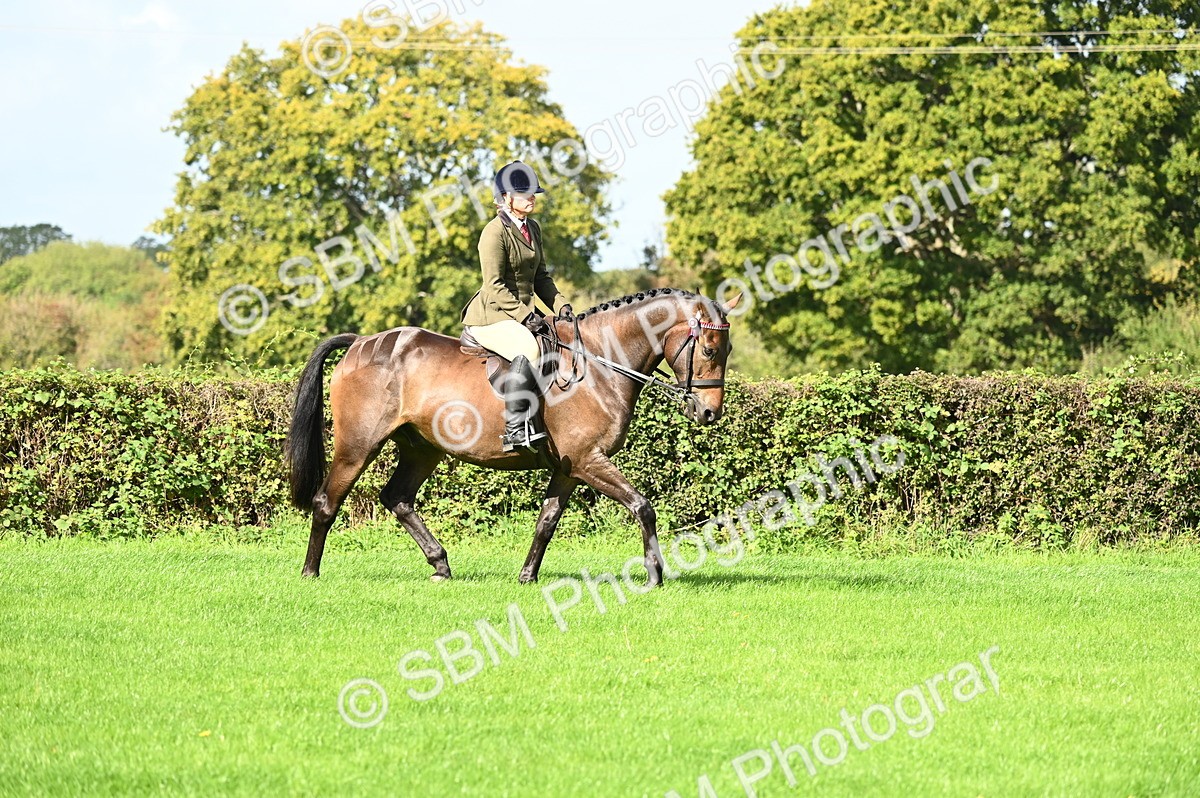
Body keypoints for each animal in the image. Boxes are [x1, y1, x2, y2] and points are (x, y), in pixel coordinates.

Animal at [286, 287, 740, 587]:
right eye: (710, 350)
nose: (709, 413)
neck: (598, 365)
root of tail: (361, 342)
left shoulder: (570, 467)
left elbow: (546, 521)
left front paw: (526, 576)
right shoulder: (589, 459)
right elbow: (643, 507)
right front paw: (654, 575)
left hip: (422, 449)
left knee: (397, 497)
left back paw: (441, 566)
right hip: (358, 445)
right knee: (327, 502)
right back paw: (309, 573)